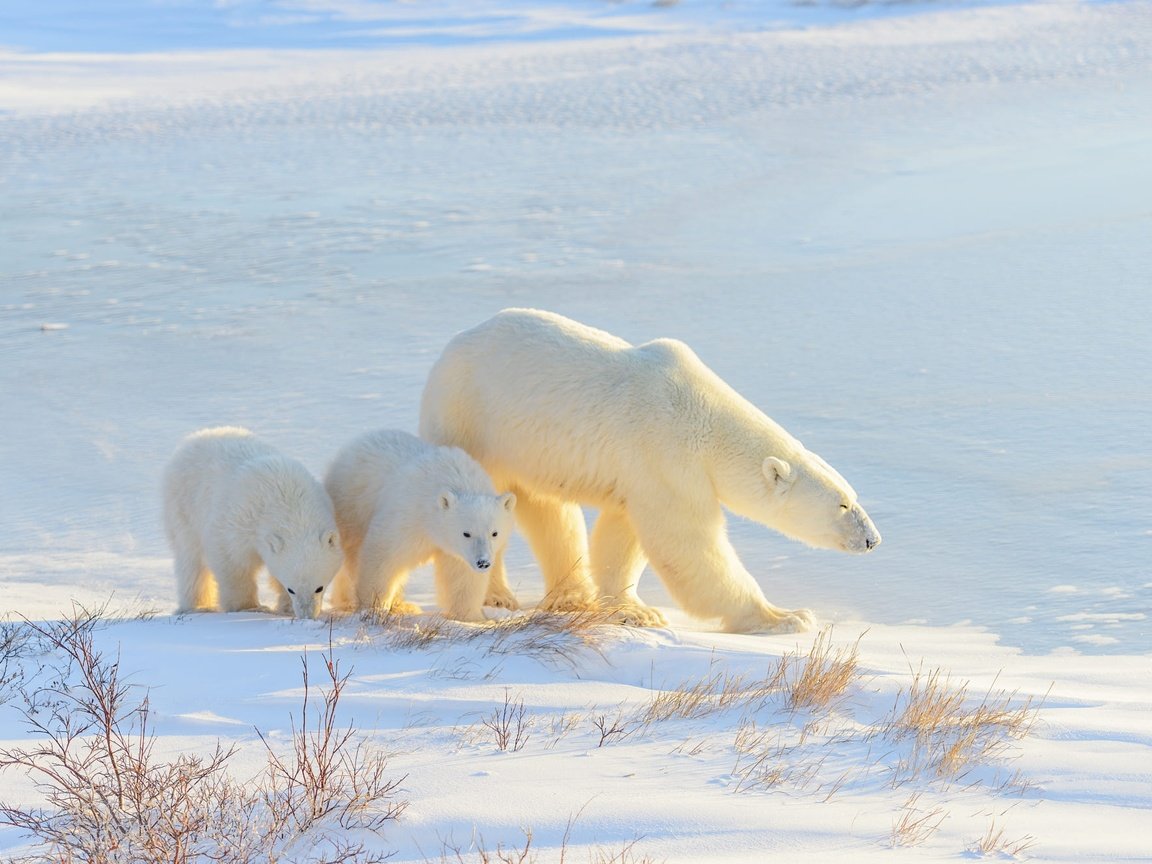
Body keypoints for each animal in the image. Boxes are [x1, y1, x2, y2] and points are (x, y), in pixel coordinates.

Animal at [162, 428, 340, 617]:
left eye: (319, 588)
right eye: (291, 589)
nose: (306, 615)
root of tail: (195, 438)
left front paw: (285, 607)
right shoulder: (238, 520)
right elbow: (232, 561)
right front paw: (248, 607)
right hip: (184, 506)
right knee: (191, 558)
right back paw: (197, 606)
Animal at [327, 430, 520, 622]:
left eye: (494, 533)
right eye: (466, 533)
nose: (483, 563)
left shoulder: (457, 551)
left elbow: (462, 574)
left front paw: (472, 617)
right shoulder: (409, 514)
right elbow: (383, 555)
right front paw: (374, 607)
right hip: (352, 505)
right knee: (353, 551)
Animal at [419, 308, 875, 631]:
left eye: (854, 496)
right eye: (842, 504)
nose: (873, 540)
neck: (705, 418)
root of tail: (450, 347)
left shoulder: (642, 473)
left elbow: (623, 535)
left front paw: (634, 610)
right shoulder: (667, 455)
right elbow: (687, 544)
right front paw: (786, 616)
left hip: (529, 448)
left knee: (549, 511)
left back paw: (570, 595)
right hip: (471, 420)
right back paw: (496, 596)